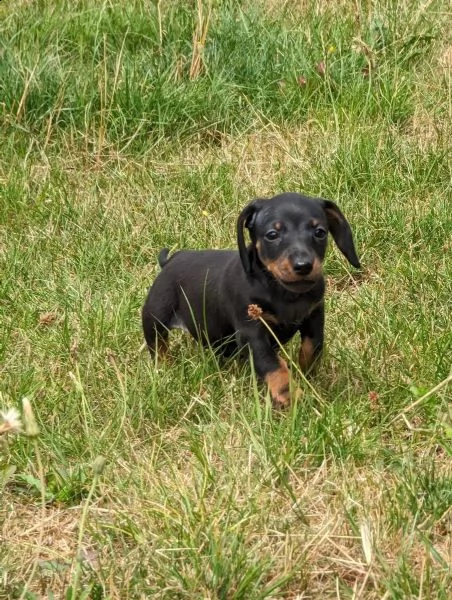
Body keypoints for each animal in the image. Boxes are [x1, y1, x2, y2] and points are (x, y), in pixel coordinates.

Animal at [141, 193, 360, 408]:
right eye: (272, 234)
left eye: (320, 232)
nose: (303, 266)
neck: (283, 292)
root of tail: (171, 260)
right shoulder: (251, 331)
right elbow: (273, 365)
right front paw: (290, 397)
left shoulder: (314, 316)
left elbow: (311, 347)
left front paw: (307, 378)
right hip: (155, 317)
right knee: (158, 347)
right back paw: (164, 371)